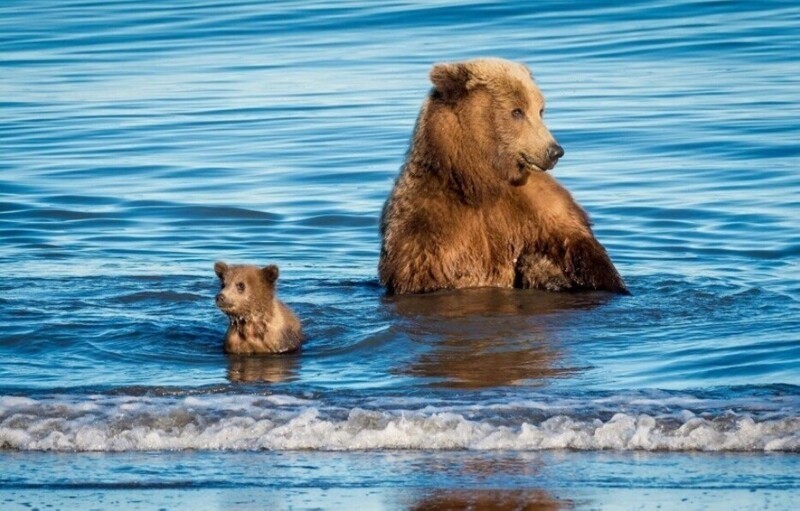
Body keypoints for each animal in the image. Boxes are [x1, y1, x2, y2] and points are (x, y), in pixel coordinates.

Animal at [378, 58, 628, 294]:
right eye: (517, 111)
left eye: (540, 110)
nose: (554, 150)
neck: (481, 181)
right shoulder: (425, 224)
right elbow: (428, 275)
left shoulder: (545, 208)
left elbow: (586, 256)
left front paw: (543, 268)